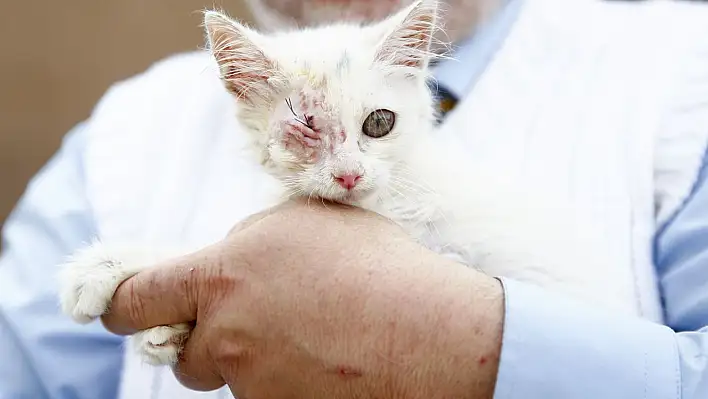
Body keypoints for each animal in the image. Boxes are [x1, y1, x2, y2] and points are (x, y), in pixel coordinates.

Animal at [58, 0, 628, 368]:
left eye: (379, 123)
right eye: (306, 129)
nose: (349, 173)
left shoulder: (444, 241)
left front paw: (108, 268)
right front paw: (156, 327)